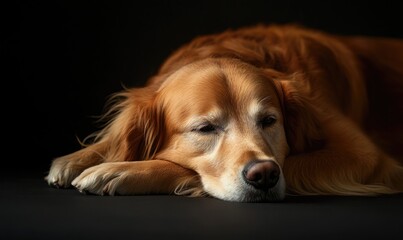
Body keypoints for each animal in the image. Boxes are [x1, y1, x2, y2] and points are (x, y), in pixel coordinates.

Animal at [45, 24, 403, 202]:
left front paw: (120, 170)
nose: (265, 175)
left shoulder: (364, 156)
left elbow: (184, 168)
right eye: (205, 129)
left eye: (269, 121)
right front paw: (78, 158)